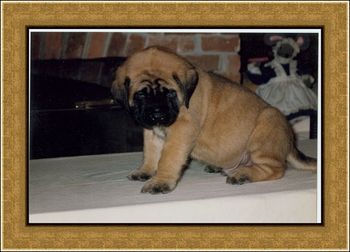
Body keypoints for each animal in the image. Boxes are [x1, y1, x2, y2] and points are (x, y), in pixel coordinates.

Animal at [112, 46, 318, 194]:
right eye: (141, 95)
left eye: (169, 93)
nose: (157, 114)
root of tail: (290, 142)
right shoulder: (152, 132)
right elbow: (151, 153)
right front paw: (145, 171)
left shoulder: (181, 130)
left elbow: (167, 158)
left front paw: (160, 181)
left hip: (266, 128)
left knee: (275, 169)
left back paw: (243, 174)